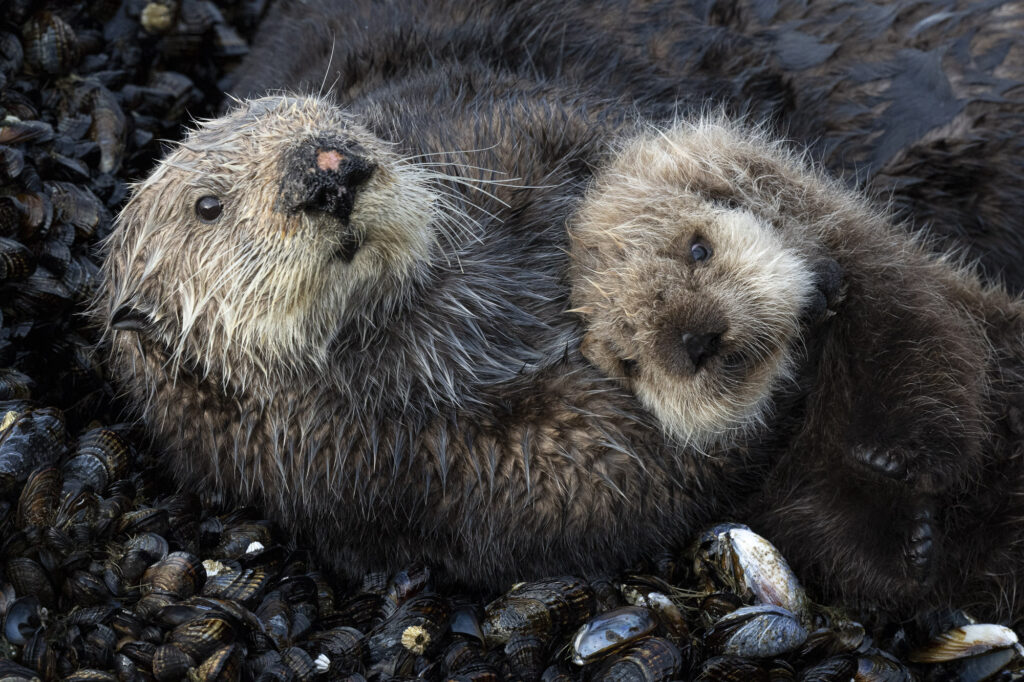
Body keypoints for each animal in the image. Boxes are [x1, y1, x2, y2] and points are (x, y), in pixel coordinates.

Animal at [569, 117, 1024, 620]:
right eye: (629, 360)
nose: (696, 341)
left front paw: (898, 458)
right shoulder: (773, 489)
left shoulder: (890, 293)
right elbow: (827, 537)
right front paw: (914, 546)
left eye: (698, 249)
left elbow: (929, 369)